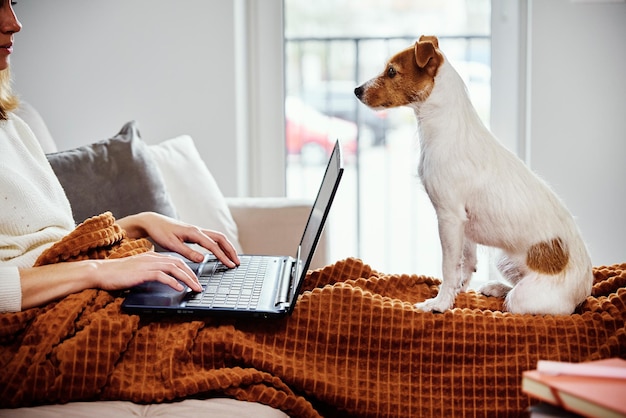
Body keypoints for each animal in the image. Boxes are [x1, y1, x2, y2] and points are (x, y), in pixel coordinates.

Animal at [354, 36, 592, 314]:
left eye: (392, 71)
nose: (356, 90)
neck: (446, 128)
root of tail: (585, 293)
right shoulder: (464, 225)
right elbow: (466, 263)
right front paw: (457, 292)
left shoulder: (449, 217)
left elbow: (448, 267)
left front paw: (440, 303)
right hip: (503, 259)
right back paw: (496, 288)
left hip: (527, 298)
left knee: (521, 304)